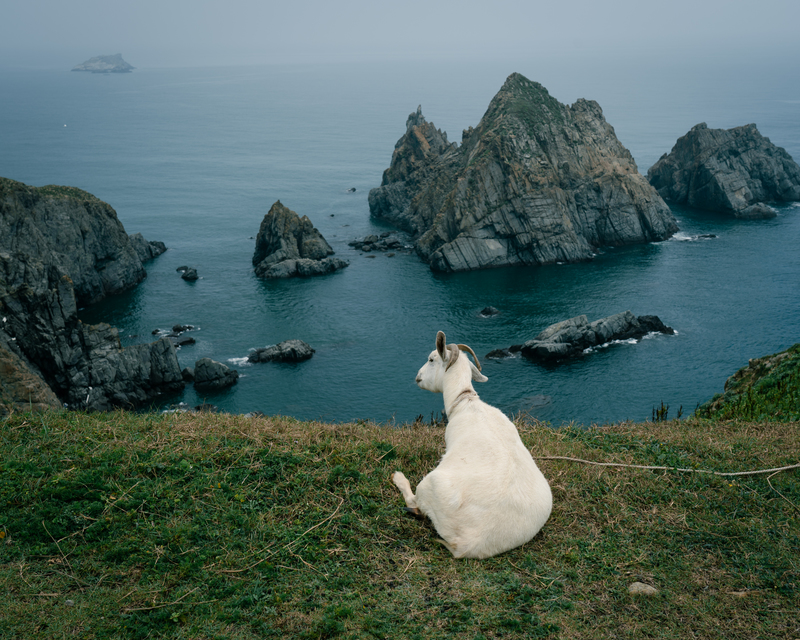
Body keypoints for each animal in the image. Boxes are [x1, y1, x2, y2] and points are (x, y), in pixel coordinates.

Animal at [392, 332, 552, 556]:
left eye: (431, 359)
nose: (418, 377)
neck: (466, 401)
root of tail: (467, 544)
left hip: (430, 485)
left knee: (414, 501)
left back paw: (399, 478)